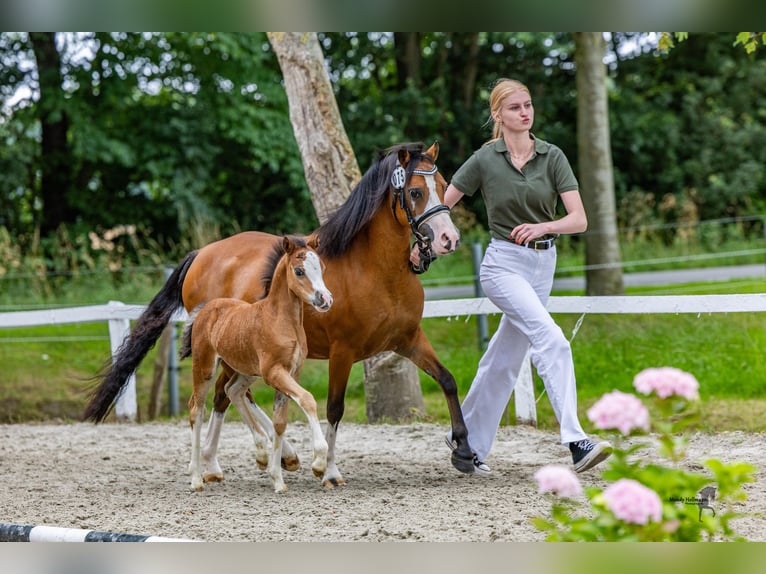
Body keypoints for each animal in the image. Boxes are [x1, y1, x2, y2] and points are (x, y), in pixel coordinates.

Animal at [179, 235, 333, 492]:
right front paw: (319, 464)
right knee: (196, 409)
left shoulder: (291, 372)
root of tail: (206, 309)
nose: (325, 299)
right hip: (204, 368)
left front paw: (278, 479)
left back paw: (260, 453)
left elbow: (280, 422)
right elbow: (308, 399)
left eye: (321, 267)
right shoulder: (274, 373)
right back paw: (196, 478)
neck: (280, 320)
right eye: (299, 270)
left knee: (232, 390)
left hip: (246, 370)